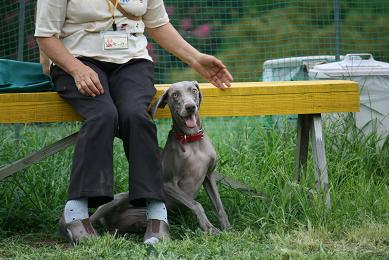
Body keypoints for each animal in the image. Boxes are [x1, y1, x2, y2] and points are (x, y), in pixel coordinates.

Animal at [90, 82, 230, 236]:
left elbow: (219, 205)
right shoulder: (167, 183)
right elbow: (196, 204)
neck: (191, 139)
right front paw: (209, 227)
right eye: (175, 95)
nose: (190, 107)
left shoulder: (209, 176)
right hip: (117, 200)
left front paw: (228, 228)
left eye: (193, 91)